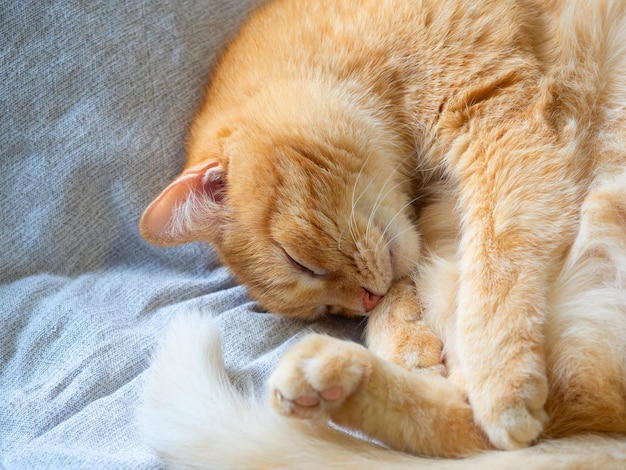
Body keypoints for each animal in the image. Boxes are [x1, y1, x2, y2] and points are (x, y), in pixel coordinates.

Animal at [138, 0, 624, 462]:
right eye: (327, 311)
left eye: (298, 261)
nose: (364, 301)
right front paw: (404, 341)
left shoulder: (506, 125)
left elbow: (493, 274)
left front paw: (500, 380)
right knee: (468, 428)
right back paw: (326, 381)